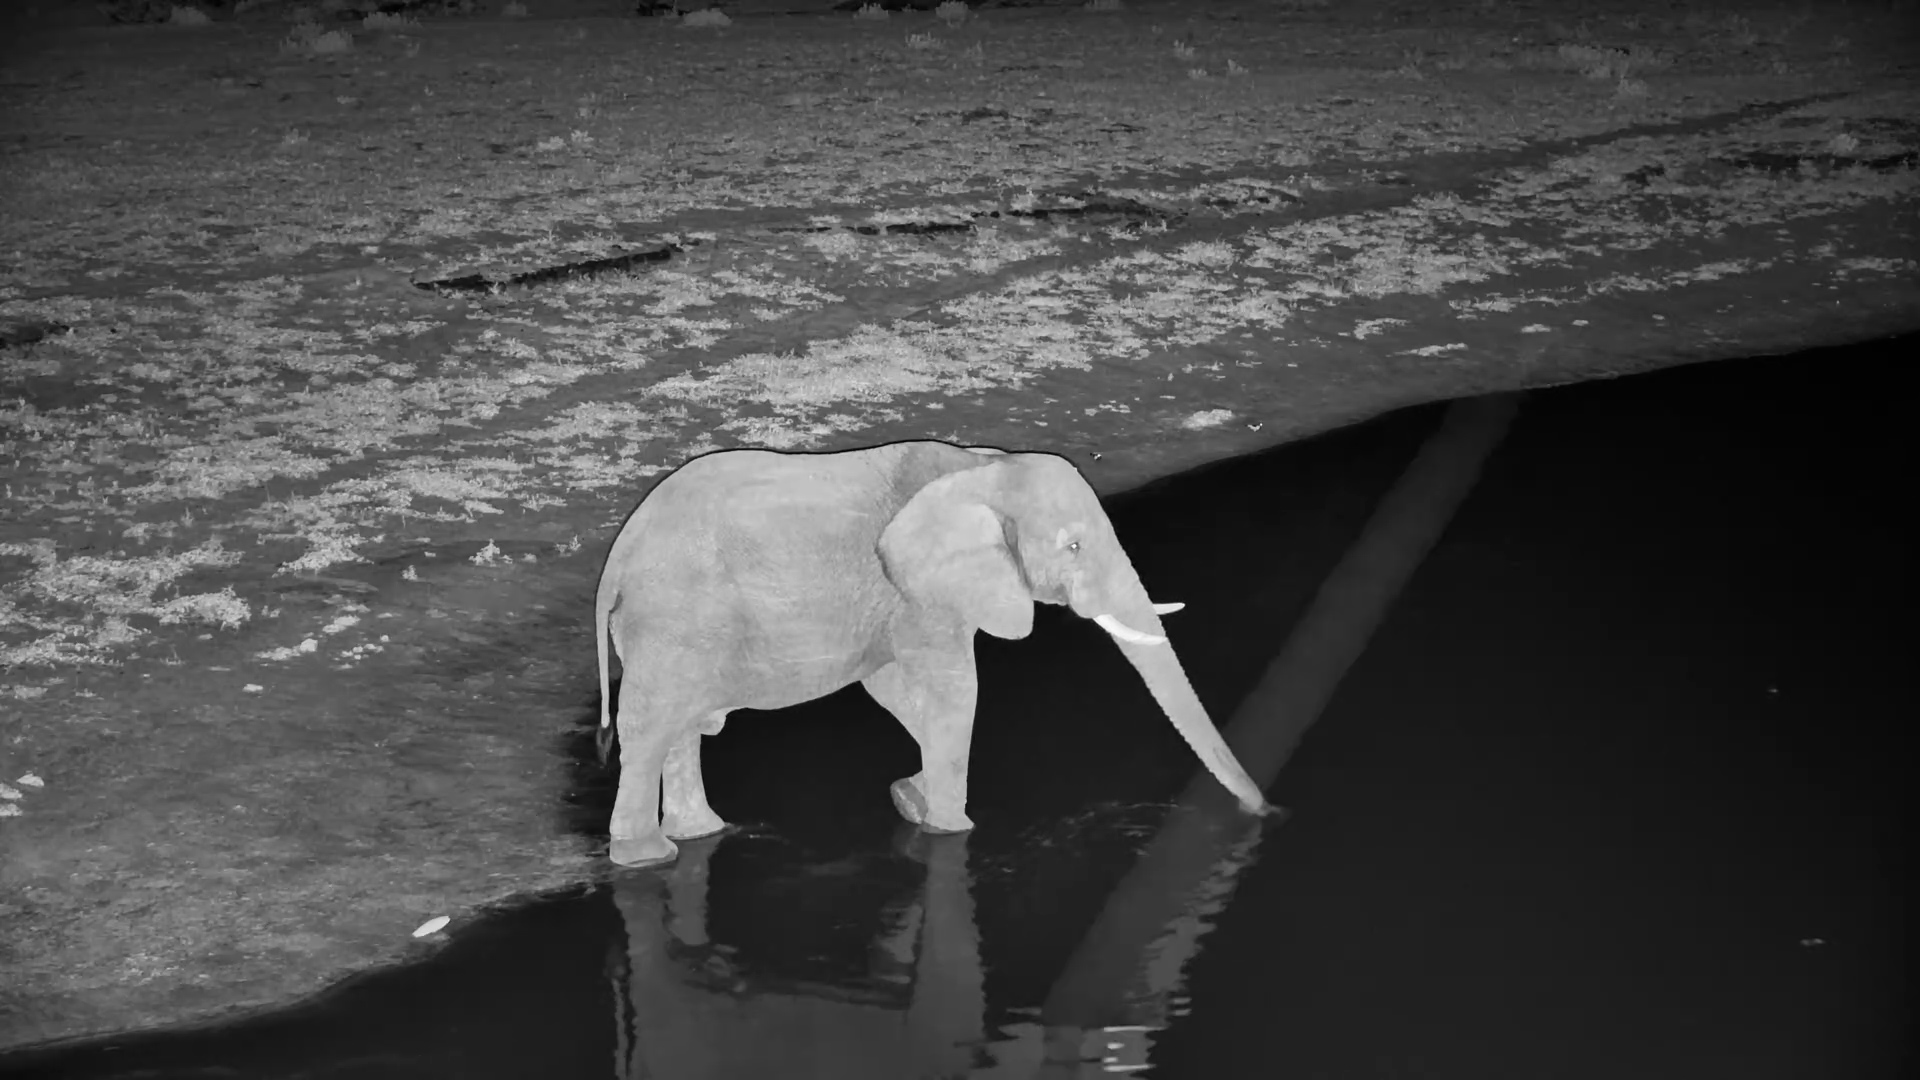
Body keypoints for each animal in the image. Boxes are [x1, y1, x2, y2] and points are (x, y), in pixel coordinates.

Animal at [594, 440, 1270, 867]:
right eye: (1074, 546)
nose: (1260, 810)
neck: (983, 467)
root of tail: (616, 559)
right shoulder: (921, 594)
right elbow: (955, 687)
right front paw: (950, 830)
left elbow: (893, 688)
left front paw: (909, 799)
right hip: (674, 624)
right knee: (654, 727)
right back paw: (647, 859)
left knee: (680, 727)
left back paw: (703, 835)